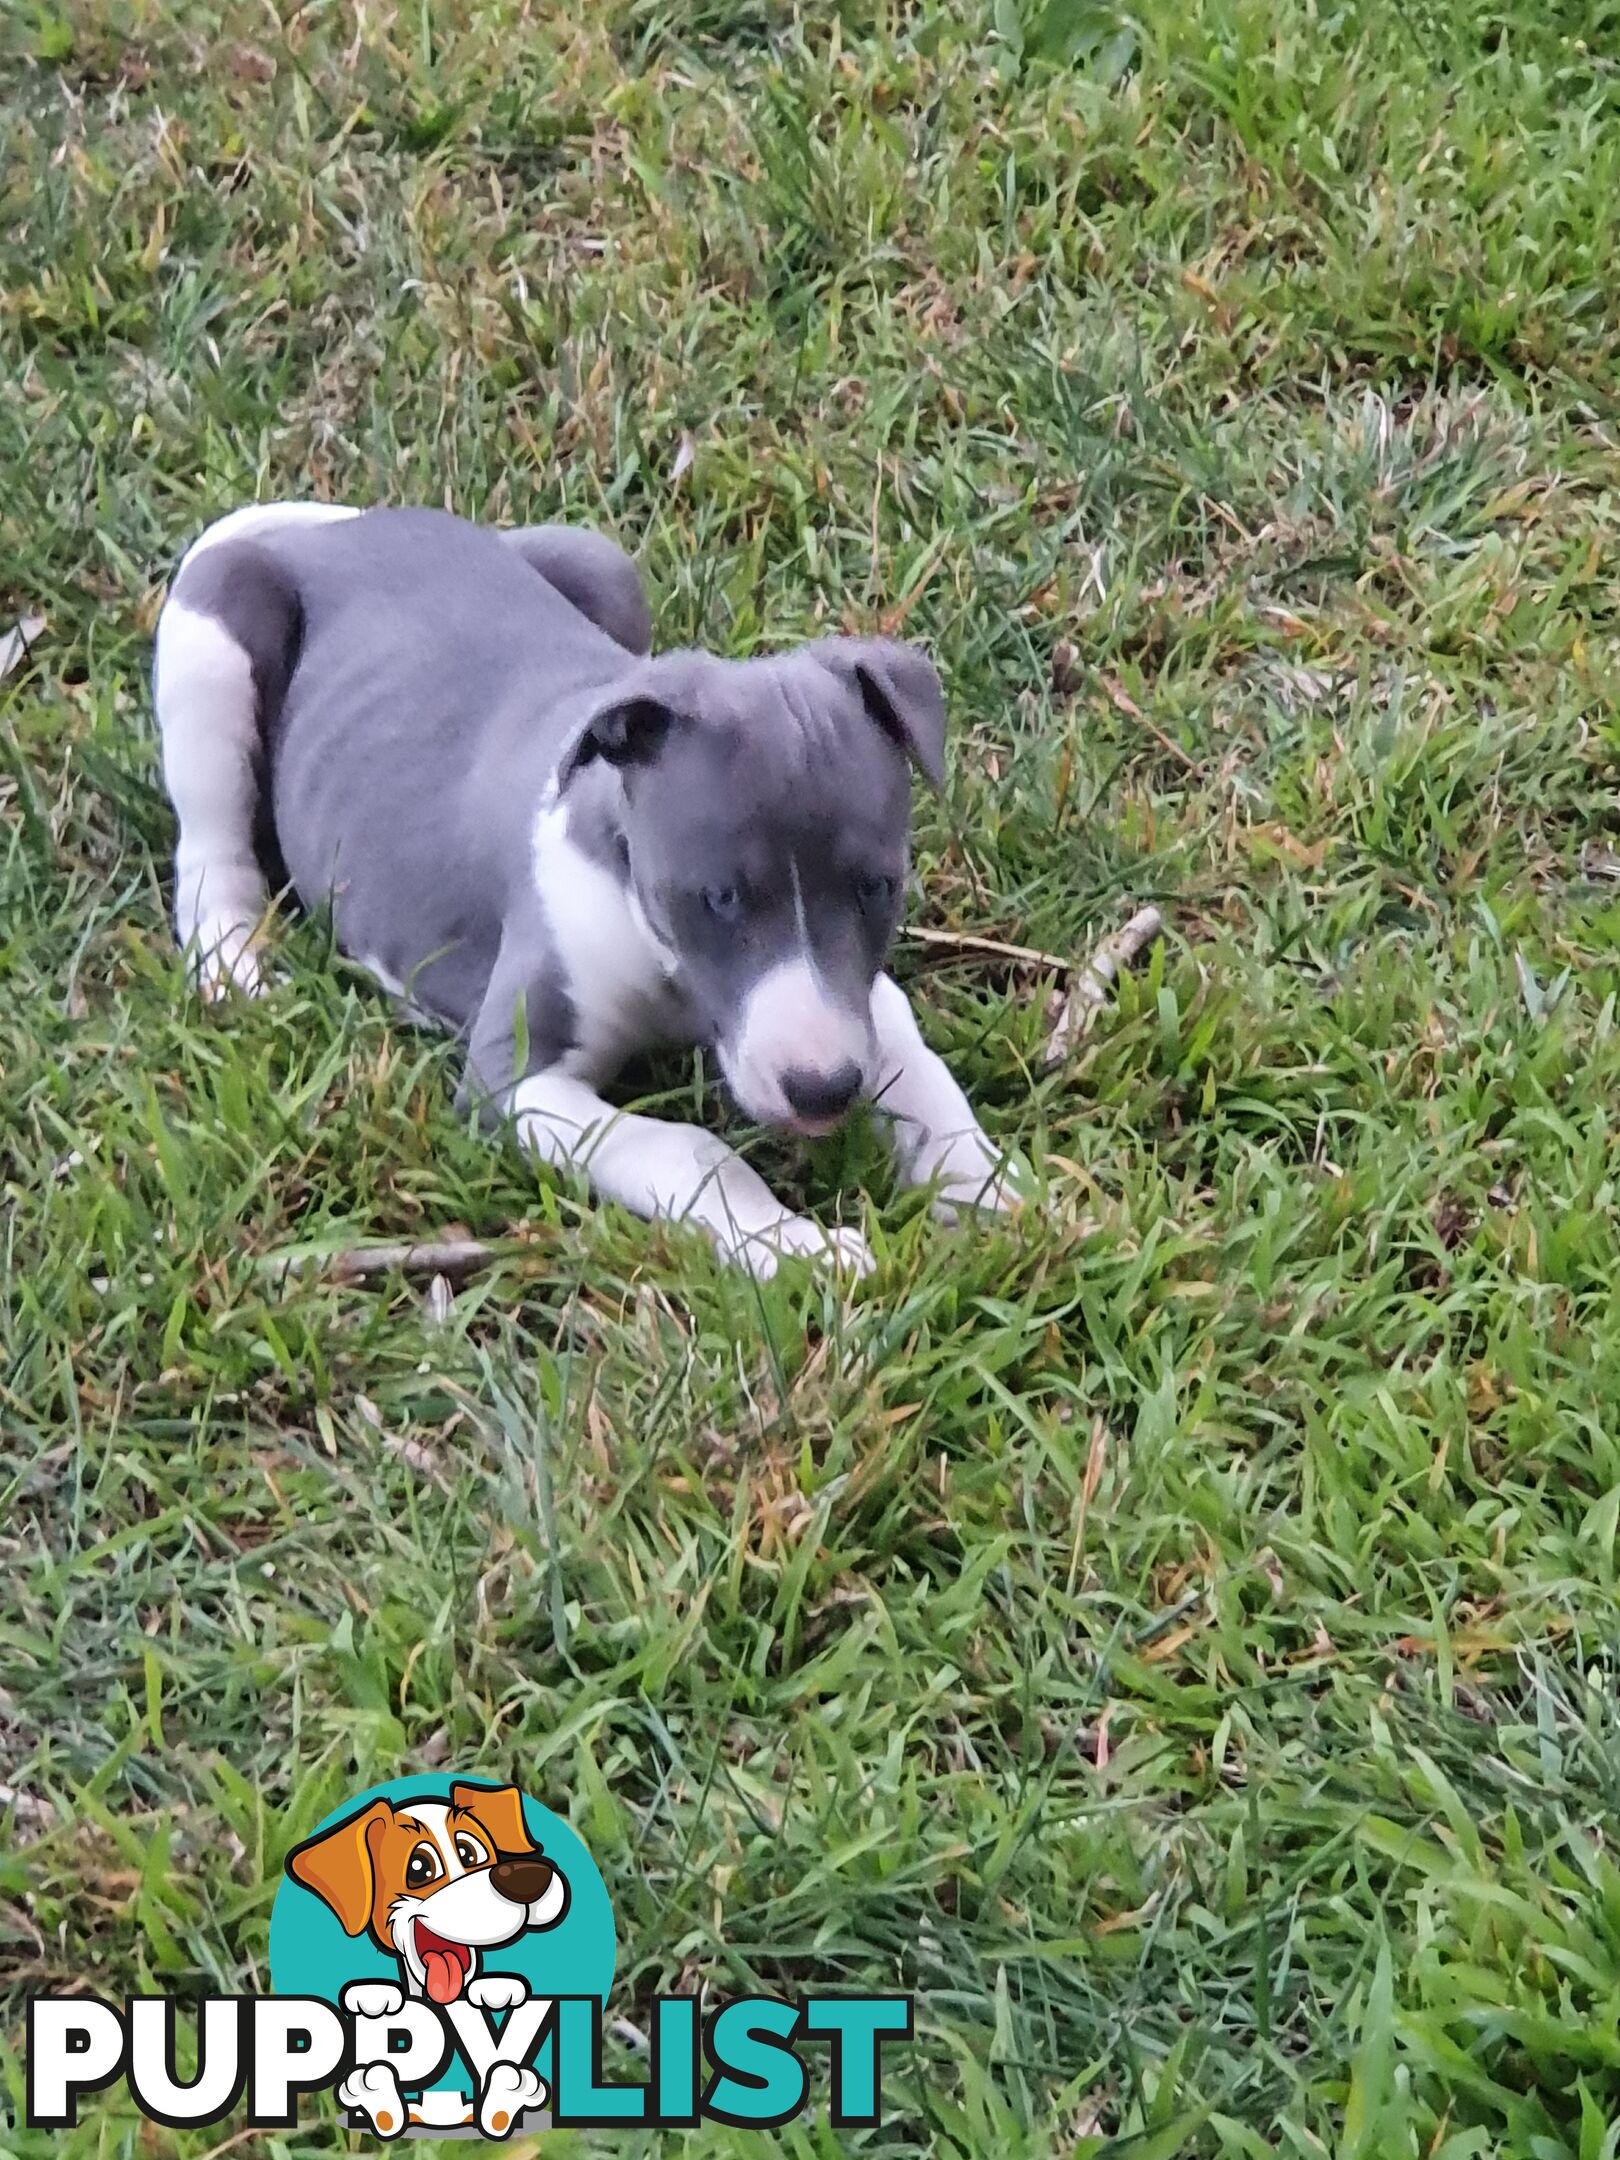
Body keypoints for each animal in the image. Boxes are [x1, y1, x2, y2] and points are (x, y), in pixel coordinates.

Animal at [152, 505, 1015, 1270]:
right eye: (720, 896)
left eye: (878, 887)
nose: (823, 1091)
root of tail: (333, 530)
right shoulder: (513, 1082)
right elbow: (684, 1146)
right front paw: (795, 1248)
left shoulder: (861, 1001)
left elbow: (918, 1071)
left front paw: (985, 1189)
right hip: (212, 647)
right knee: (210, 850)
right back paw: (235, 970)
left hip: (599, 564)